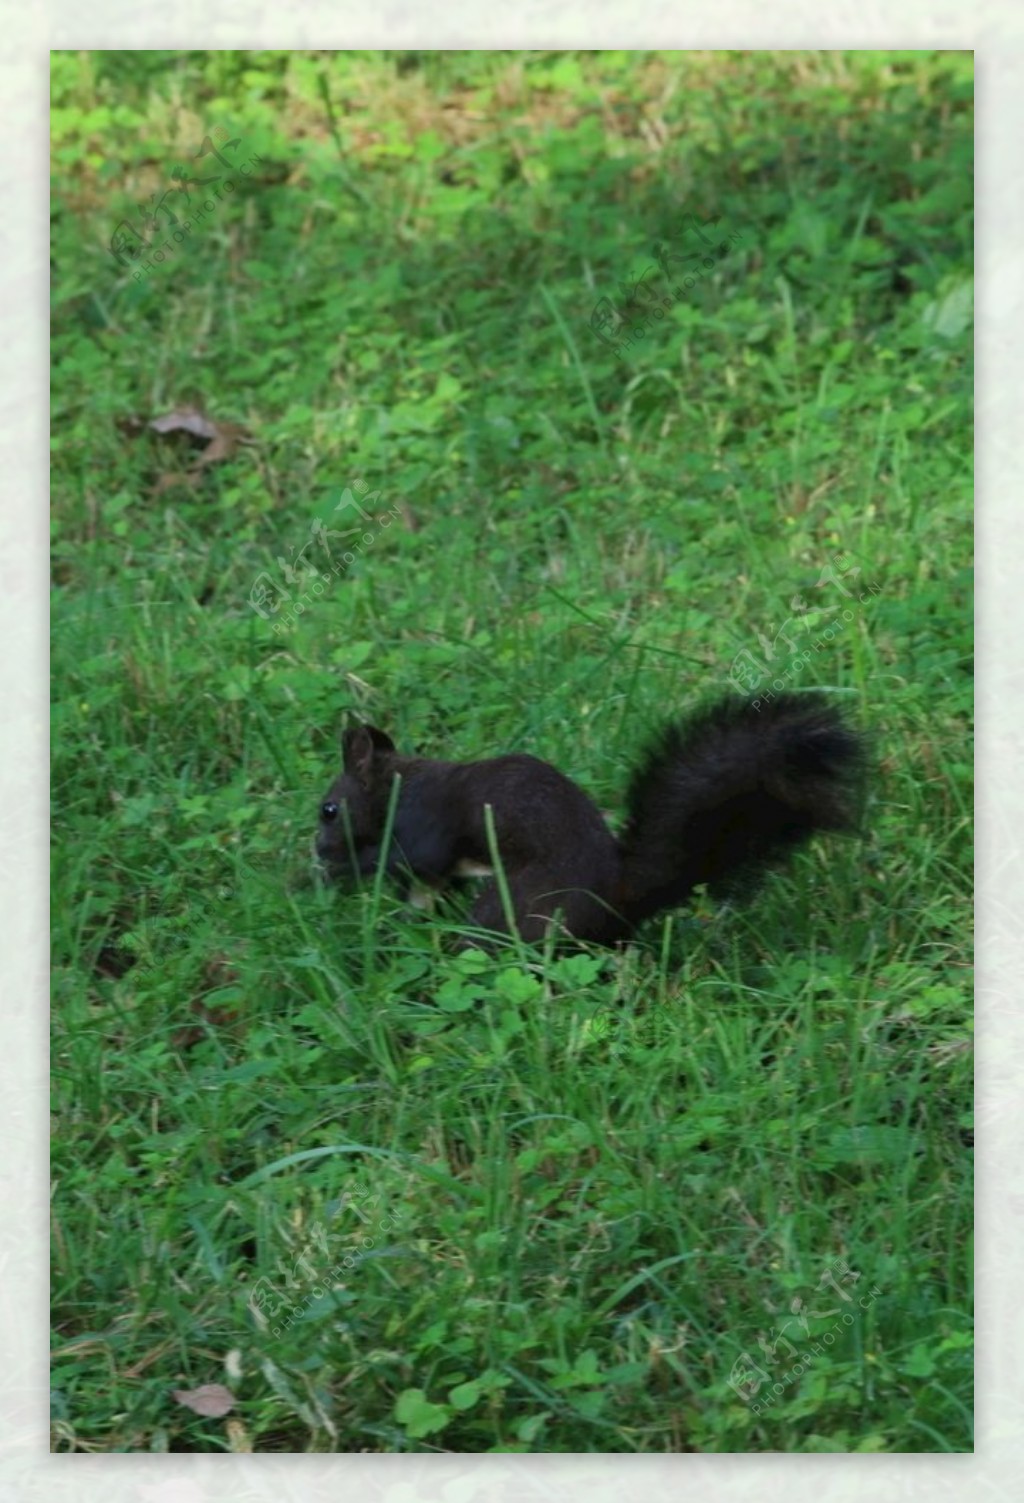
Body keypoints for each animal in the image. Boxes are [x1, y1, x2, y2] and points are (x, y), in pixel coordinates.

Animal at [314, 688, 860, 943]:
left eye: (329, 810)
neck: (397, 785)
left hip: (517, 904)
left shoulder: (424, 820)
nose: (319, 848)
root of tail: (616, 901)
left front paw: (337, 872)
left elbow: (412, 859)